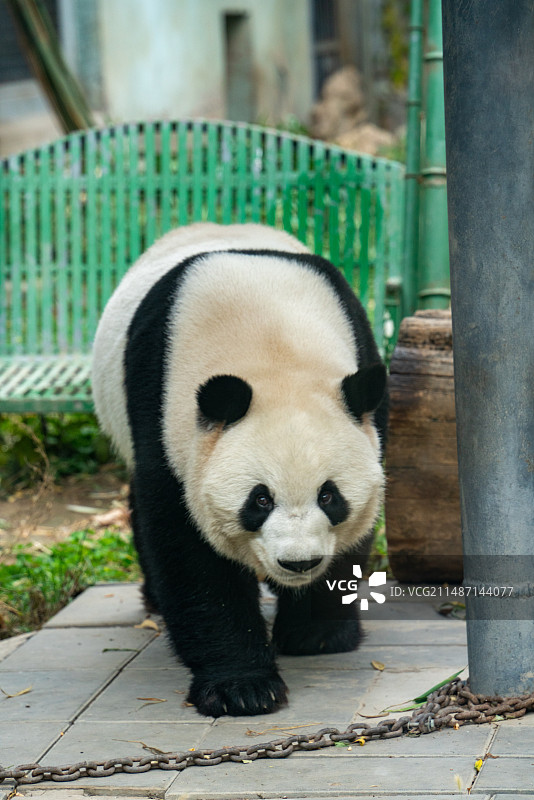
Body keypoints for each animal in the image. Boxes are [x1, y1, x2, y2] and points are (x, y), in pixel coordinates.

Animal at [93, 223, 390, 720]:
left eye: (329, 496)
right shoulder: (163, 410)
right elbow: (186, 550)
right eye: (260, 499)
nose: (299, 563)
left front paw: (317, 635)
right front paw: (243, 687)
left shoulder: (366, 393)